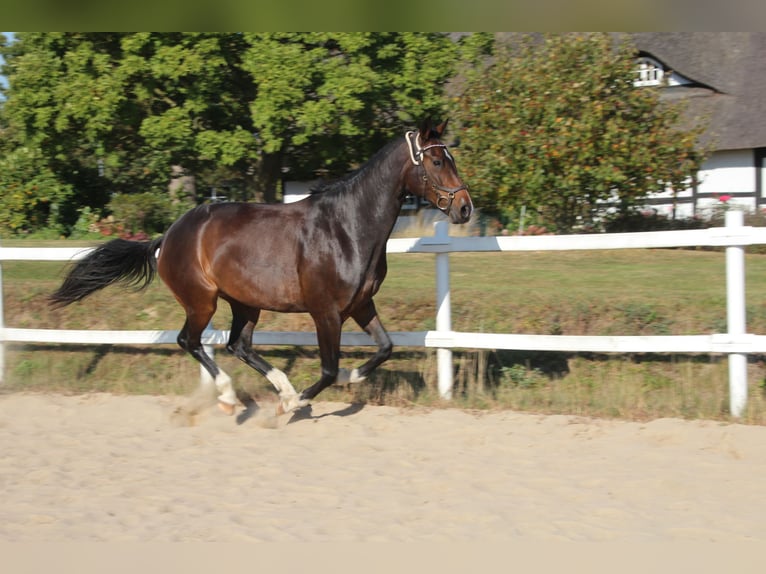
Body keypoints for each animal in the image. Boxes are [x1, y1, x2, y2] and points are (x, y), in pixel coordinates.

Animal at [50, 119, 473, 418]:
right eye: (437, 160)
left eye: (451, 157)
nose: (465, 207)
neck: (347, 227)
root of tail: (168, 235)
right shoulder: (326, 312)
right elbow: (328, 368)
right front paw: (298, 403)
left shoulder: (360, 305)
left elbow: (384, 348)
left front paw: (341, 382)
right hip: (202, 302)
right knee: (190, 341)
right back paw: (232, 398)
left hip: (245, 303)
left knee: (238, 345)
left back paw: (277, 390)